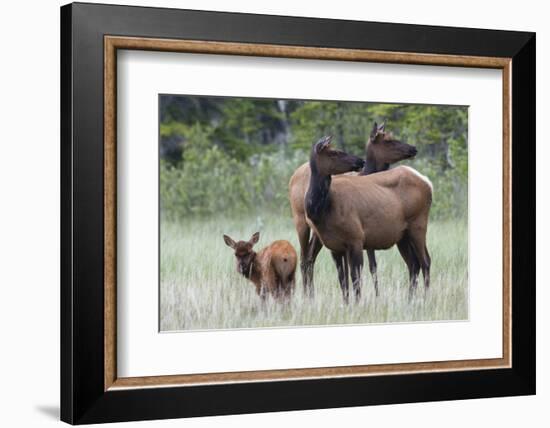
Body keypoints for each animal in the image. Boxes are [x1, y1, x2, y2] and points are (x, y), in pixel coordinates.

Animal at [288, 123, 418, 296]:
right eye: (388, 141)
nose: (413, 148)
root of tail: (292, 177)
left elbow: (367, 267)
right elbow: (366, 267)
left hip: (317, 234)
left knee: (310, 257)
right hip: (301, 222)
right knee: (304, 258)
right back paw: (307, 294)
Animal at [306, 137, 432, 304]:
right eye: (334, 152)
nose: (360, 160)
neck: (322, 211)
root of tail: (428, 182)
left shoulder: (356, 239)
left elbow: (356, 278)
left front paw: (358, 304)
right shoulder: (335, 247)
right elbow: (342, 280)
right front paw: (346, 304)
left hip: (418, 224)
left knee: (425, 261)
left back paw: (426, 299)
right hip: (402, 236)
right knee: (414, 264)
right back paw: (409, 300)